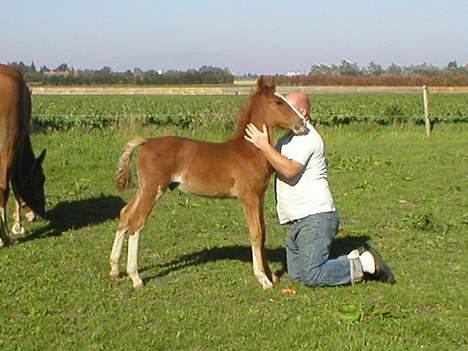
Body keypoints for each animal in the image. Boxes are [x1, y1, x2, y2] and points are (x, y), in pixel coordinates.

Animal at [0, 66, 46, 248]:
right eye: (41, 179)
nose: (39, 212)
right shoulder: (15, 150)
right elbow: (16, 185)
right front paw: (17, 226)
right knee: (3, 188)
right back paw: (3, 237)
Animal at [111, 78, 306, 290]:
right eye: (278, 102)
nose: (302, 123)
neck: (251, 149)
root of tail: (146, 142)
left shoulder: (259, 196)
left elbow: (263, 232)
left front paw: (272, 276)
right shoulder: (248, 197)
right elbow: (255, 233)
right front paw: (263, 279)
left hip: (143, 188)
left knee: (125, 214)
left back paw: (114, 269)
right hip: (153, 189)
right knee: (136, 223)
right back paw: (136, 277)